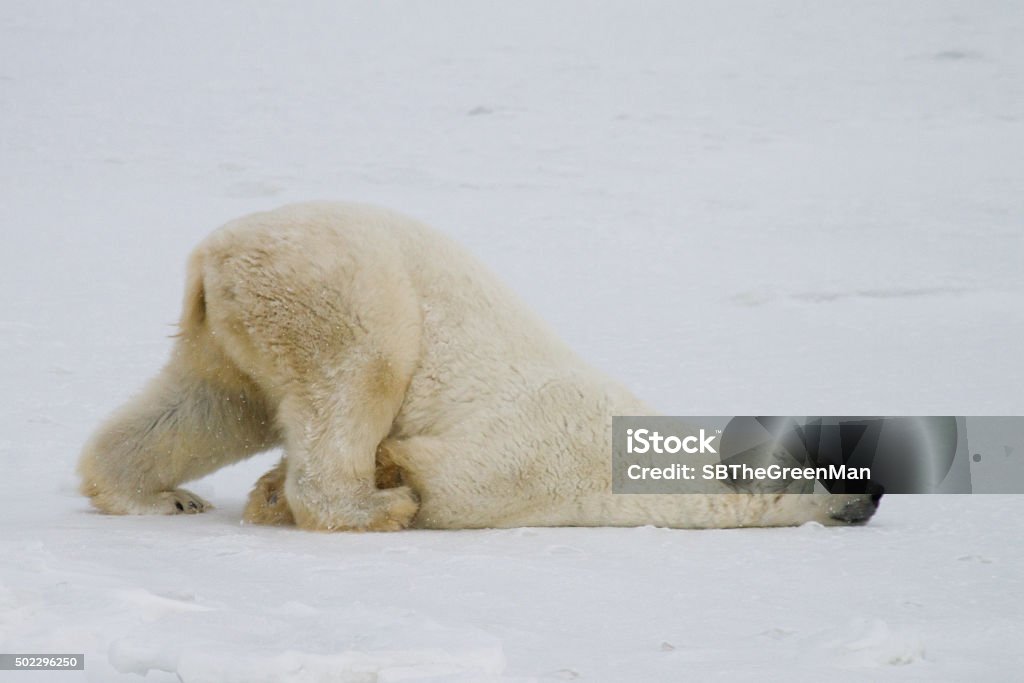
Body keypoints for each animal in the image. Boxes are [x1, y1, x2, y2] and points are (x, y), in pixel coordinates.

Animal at [79, 200, 880, 532]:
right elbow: (447, 482)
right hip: (334, 287)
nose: (872, 494)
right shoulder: (539, 459)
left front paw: (266, 494)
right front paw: (381, 481)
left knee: (210, 404)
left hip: (237, 326)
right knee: (357, 374)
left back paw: (157, 495)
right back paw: (369, 507)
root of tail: (212, 255)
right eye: (833, 464)